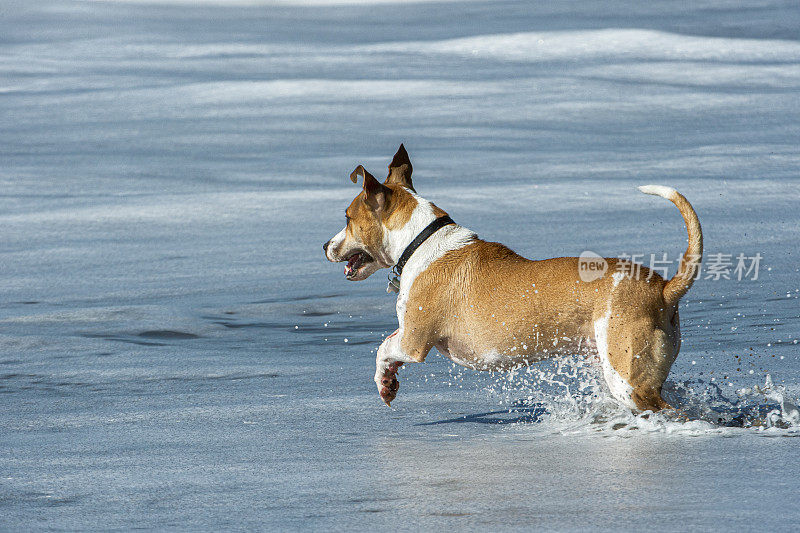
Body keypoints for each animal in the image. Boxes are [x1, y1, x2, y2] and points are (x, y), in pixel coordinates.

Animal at [322, 145, 704, 412]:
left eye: (347, 218)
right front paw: (388, 383)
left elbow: (383, 348)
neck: (421, 241)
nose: (325, 246)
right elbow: (386, 344)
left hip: (629, 378)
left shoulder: (414, 340)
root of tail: (664, 289)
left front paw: (385, 382)